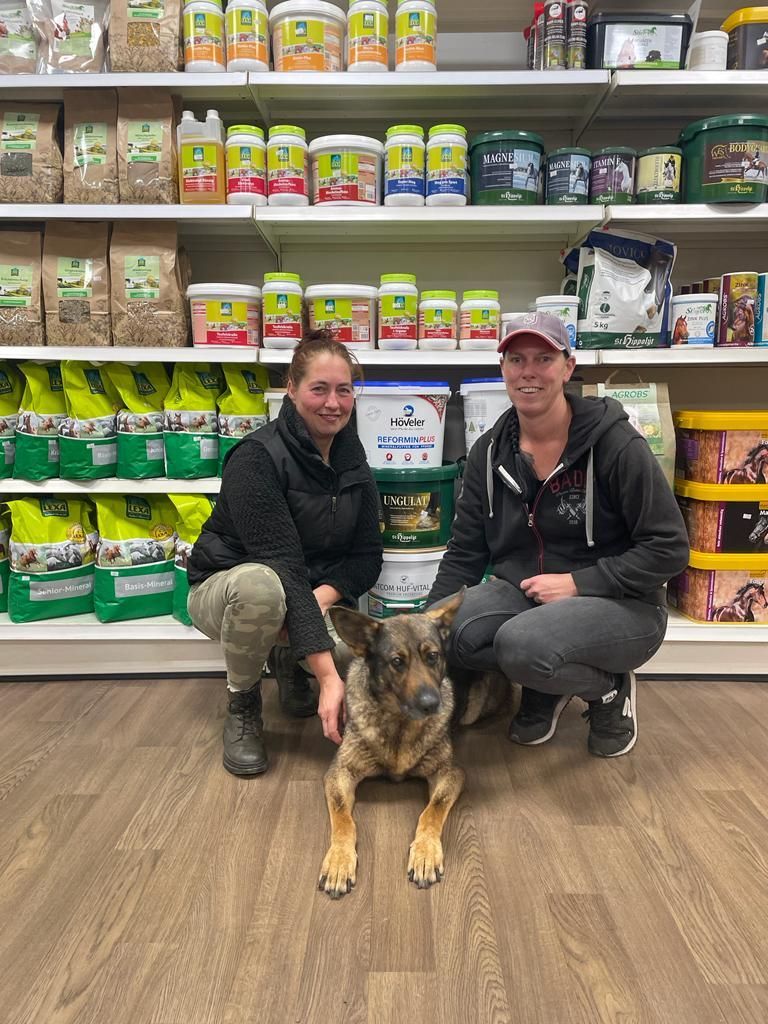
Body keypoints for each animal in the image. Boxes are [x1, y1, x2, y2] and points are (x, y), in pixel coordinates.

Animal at [318, 590, 511, 899]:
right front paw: (338, 860)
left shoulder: (450, 773)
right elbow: (343, 820)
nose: (432, 704)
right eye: (397, 661)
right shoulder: (340, 772)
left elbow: (431, 811)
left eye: (432, 657)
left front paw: (425, 853)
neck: (399, 721)